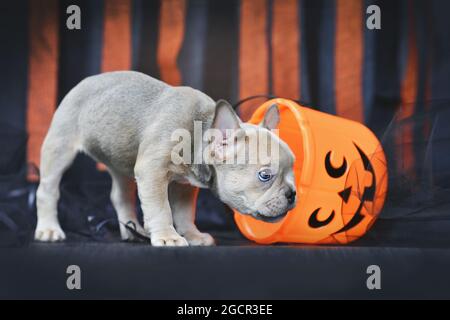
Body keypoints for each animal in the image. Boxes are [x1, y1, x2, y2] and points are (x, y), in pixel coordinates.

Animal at [34, 71, 296, 246]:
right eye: (265, 176)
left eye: (293, 170)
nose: (293, 194)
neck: (199, 129)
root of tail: (85, 81)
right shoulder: (151, 172)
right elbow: (162, 208)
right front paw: (168, 236)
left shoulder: (185, 185)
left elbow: (184, 212)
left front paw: (192, 235)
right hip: (60, 146)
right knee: (47, 191)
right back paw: (48, 229)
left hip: (122, 163)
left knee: (121, 196)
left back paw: (133, 231)